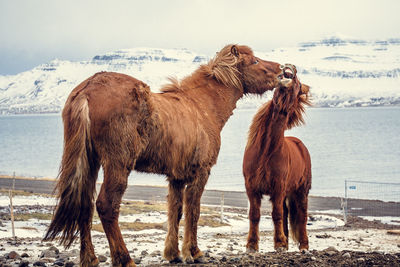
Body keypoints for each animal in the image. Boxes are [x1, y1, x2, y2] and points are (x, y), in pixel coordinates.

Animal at [43, 45, 284, 266]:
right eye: (254, 61)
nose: (283, 71)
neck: (203, 106)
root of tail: (86, 91)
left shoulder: (176, 177)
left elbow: (175, 211)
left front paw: (173, 253)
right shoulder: (201, 172)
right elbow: (193, 210)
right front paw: (194, 252)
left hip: (90, 162)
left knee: (84, 204)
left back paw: (90, 259)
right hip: (117, 164)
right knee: (106, 206)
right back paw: (124, 259)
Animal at [242, 65, 310, 253]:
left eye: (298, 84)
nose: (289, 68)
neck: (265, 151)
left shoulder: (278, 187)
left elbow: (276, 215)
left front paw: (278, 243)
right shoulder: (251, 187)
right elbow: (254, 215)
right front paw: (252, 245)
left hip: (301, 191)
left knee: (302, 216)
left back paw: (303, 246)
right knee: (287, 214)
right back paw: (287, 244)